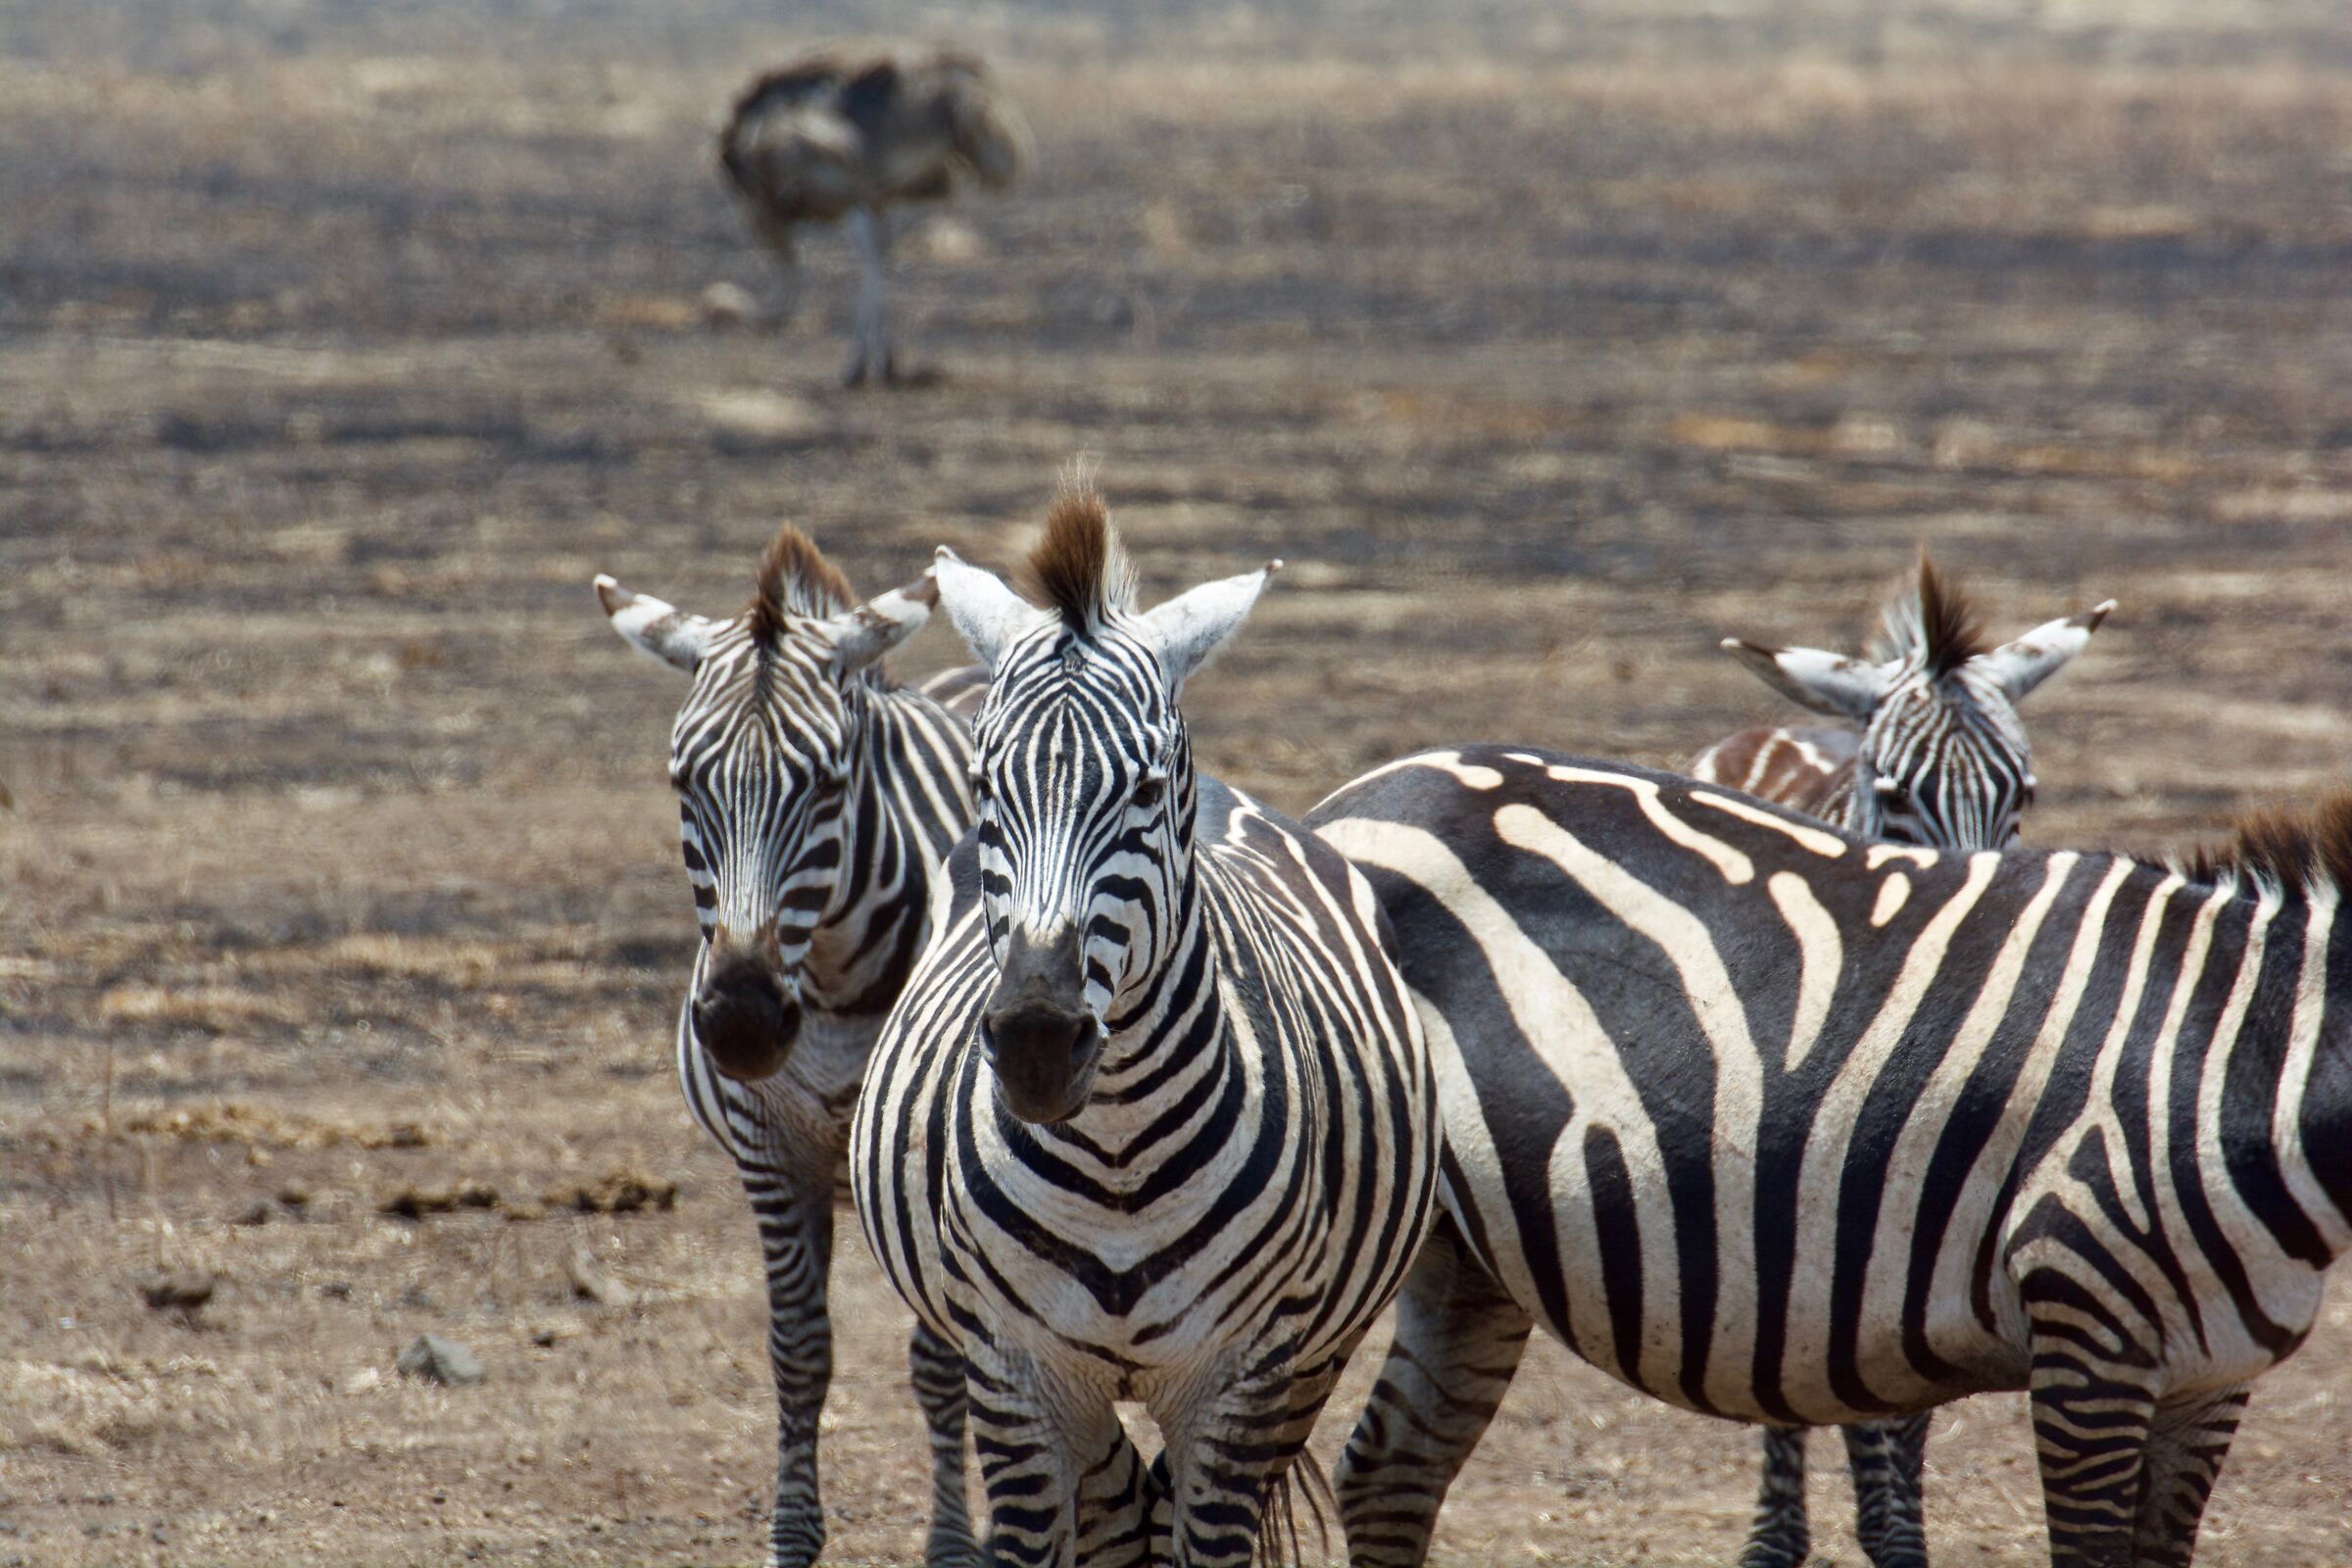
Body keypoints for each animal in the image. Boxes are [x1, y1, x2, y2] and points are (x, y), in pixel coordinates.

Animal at [594, 526, 984, 1568]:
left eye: (827, 784)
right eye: (684, 783)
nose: (739, 1019)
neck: (838, 985)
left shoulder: (926, 1161)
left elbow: (942, 1361)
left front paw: (952, 1544)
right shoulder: (769, 1151)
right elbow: (800, 1354)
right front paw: (794, 1537)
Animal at [850, 486, 1443, 1568]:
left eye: (1144, 786)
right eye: (986, 783)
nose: (1038, 1044)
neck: (1117, 1157)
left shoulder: (1244, 1380)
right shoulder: (1013, 1375)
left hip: (1316, 1353)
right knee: (1120, 1511)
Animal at [1313, 747, 2352, 1568]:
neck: (2238, 1055)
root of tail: (1354, 794)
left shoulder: (2211, 1379)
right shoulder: (2088, 1335)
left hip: (1462, 1251)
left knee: (1389, 1471)